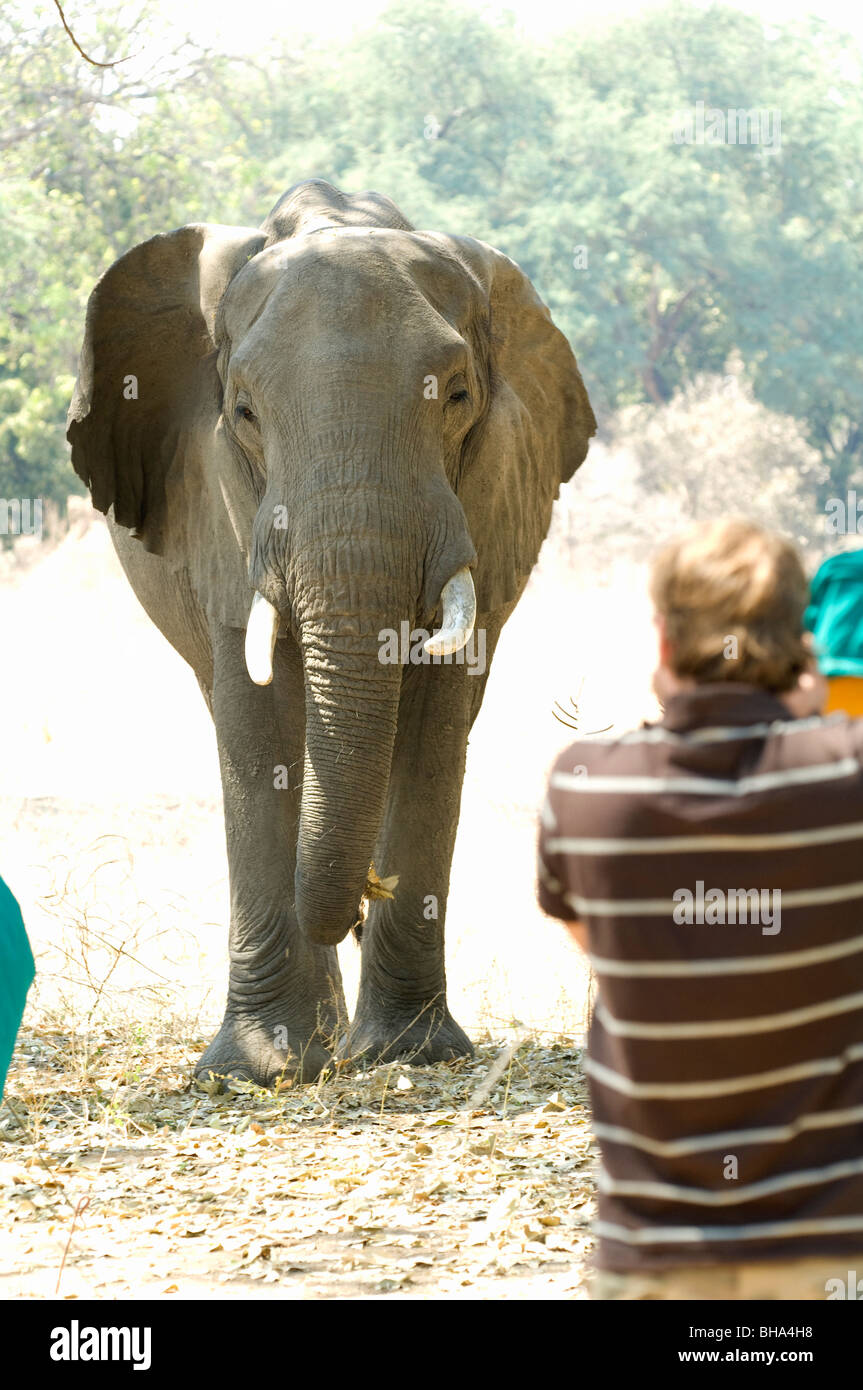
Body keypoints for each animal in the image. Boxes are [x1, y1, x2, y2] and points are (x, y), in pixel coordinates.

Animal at [67, 179, 594, 1084]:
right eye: (243, 411)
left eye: (458, 396)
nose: (351, 906)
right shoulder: (214, 501)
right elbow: (255, 715)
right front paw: (258, 1069)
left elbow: (432, 719)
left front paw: (409, 1052)